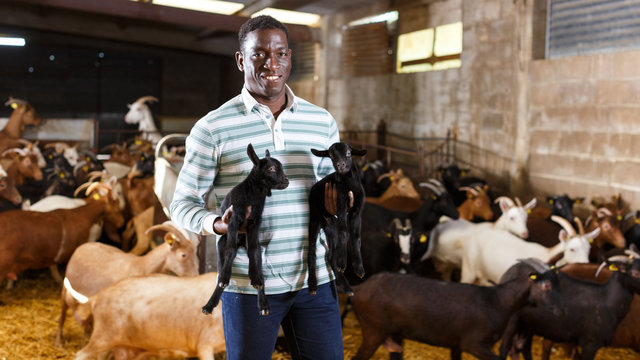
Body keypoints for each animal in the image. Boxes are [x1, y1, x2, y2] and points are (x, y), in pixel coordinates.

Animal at [201, 142, 288, 316]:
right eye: (271, 169)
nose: (286, 181)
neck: (254, 194)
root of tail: (242, 242)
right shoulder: (234, 219)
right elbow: (231, 250)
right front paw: (225, 278)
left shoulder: (255, 222)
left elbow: (253, 250)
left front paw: (254, 277)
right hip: (222, 243)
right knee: (223, 266)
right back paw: (211, 303)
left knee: (257, 262)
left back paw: (263, 302)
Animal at [308, 141, 368, 296]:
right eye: (331, 155)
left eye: (348, 153)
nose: (341, 164)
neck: (349, 183)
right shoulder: (340, 206)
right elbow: (344, 233)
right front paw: (343, 262)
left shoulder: (356, 211)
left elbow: (356, 237)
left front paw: (359, 268)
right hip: (315, 219)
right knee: (311, 252)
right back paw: (312, 285)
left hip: (331, 225)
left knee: (330, 257)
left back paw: (347, 287)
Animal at [350, 258, 556, 360]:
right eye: (547, 286)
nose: (556, 310)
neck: (497, 301)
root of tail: (357, 289)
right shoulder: (474, 344)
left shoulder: (456, 344)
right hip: (374, 329)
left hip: (392, 335)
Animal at [500, 249, 640, 358]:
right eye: (635, 273)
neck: (606, 298)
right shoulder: (589, 343)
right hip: (512, 321)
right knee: (504, 349)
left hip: (529, 324)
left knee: (521, 348)